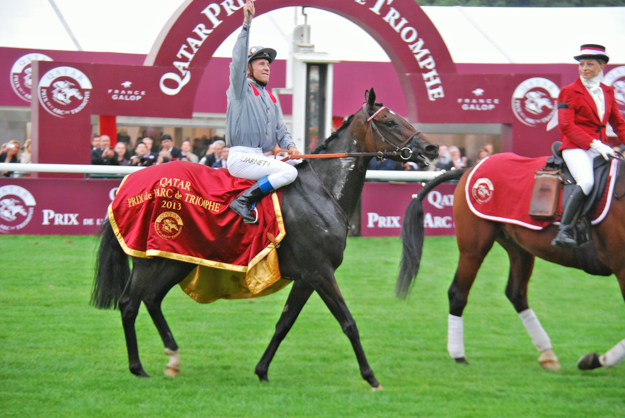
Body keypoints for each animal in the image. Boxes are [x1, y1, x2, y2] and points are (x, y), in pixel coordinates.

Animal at [91, 89, 438, 392]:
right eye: (390, 122)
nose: (431, 148)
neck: (322, 191)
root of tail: (130, 182)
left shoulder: (307, 277)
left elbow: (284, 323)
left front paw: (261, 370)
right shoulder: (320, 271)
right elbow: (348, 322)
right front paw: (371, 378)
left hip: (177, 258)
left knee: (152, 299)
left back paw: (173, 359)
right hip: (149, 260)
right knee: (129, 303)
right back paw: (138, 368)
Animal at [398, 158, 624, 370]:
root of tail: (471, 168)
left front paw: (597, 360)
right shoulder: (621, 270)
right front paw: (596, 360)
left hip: (519, 248)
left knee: (516, 294)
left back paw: (547, 353)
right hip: (474, 247)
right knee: (458, 292)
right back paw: (458, 354)